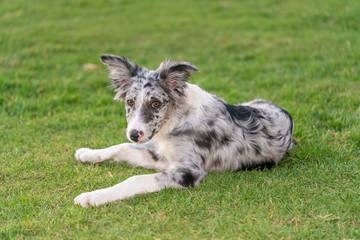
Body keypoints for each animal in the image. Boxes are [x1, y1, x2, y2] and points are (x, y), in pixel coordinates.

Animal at [74, 54, 296, 206]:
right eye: (130, 102)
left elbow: (134, 179)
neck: (179, 118)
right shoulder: (162, 157)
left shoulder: (188, 171)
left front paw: (92, 196)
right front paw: (88, 154)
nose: (134, 134)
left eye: (156, 103)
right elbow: (122, 147)